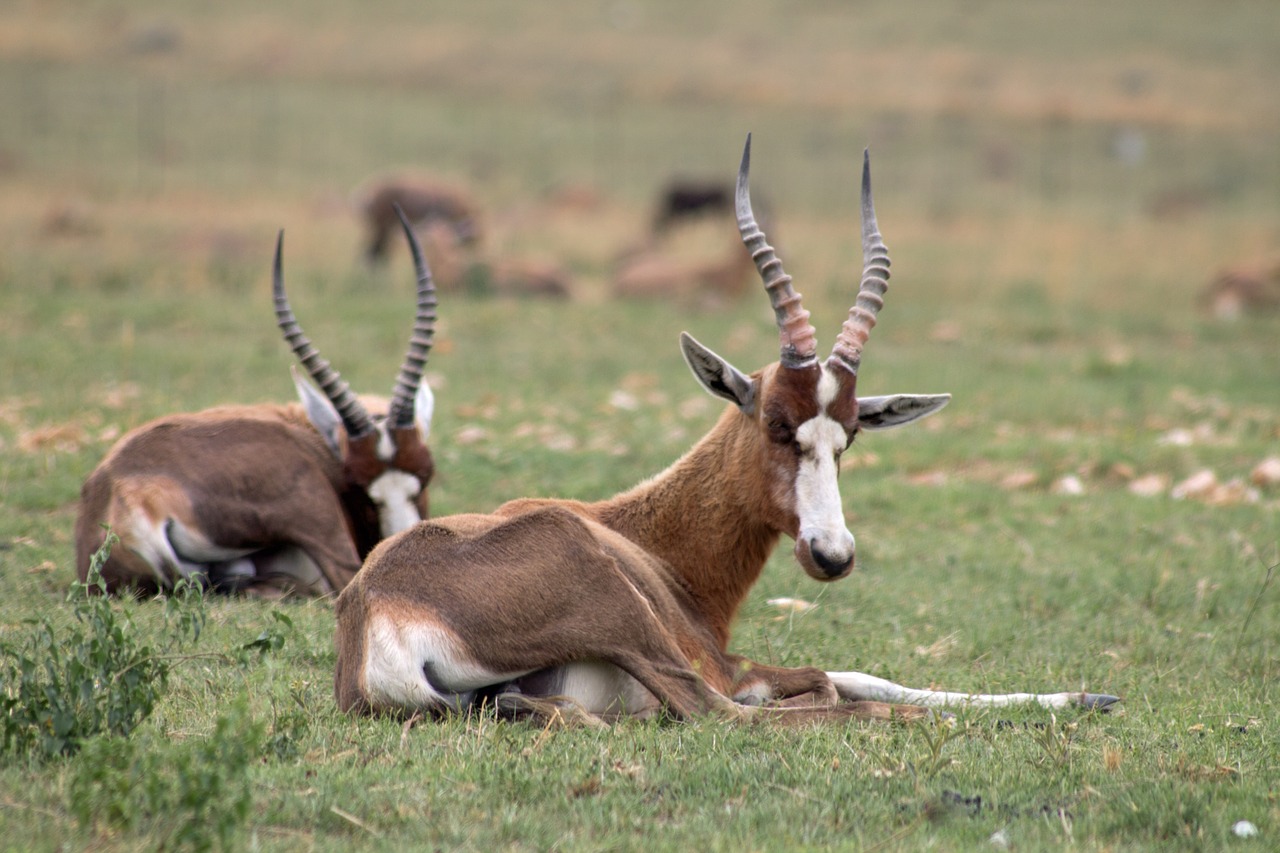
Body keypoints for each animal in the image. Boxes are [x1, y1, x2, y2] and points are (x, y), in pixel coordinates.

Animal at [332, 136, 1121, 722]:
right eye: (776, 422)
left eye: (850, 435)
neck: (646, 540)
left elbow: (863, 673)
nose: (831, 555)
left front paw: (1088, 695)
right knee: (727, 713)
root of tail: (381, 611)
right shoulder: (725, 663)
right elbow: (833, 677)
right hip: (646, 639)